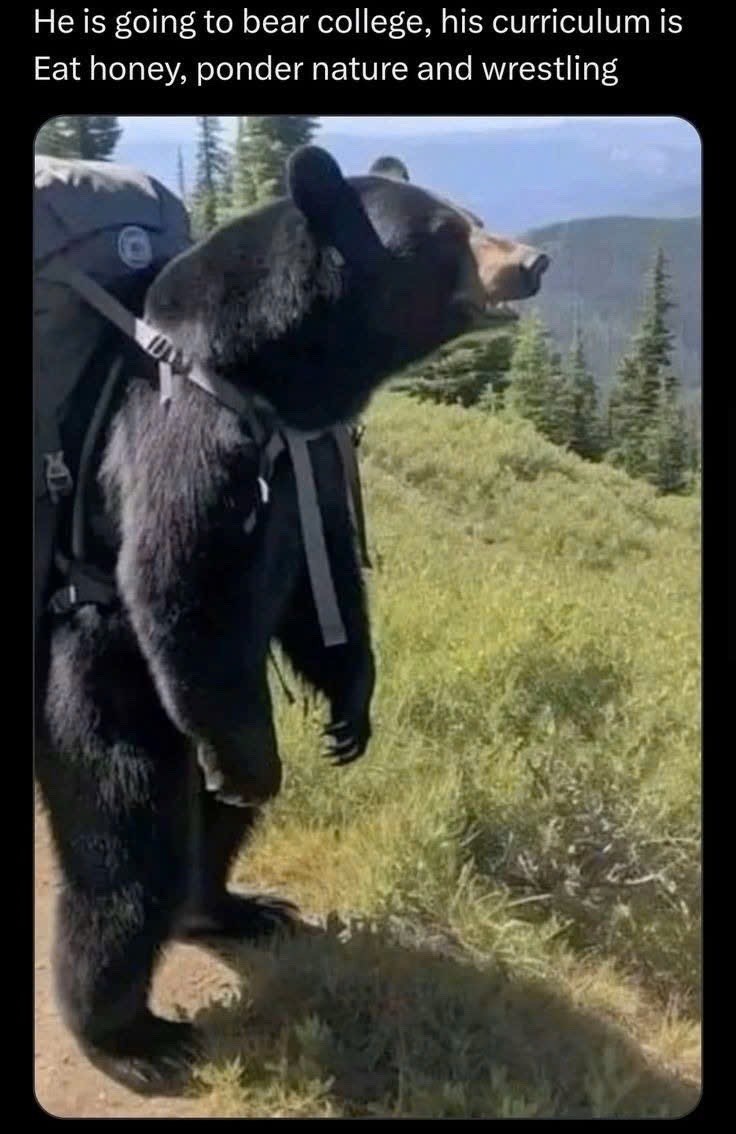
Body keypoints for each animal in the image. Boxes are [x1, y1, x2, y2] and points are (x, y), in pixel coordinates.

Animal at [35, 145, 549, 1095]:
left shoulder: (315, 455)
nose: (531, 261)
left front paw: (352, 712)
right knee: (126, 855)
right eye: (445, 232)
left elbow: (324, 582)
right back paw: (130, 1037)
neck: (271, 378)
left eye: (471, 213)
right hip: (99, 682)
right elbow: (178, 580)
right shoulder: (181, 424)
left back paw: (231, 907)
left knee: (212, 824)